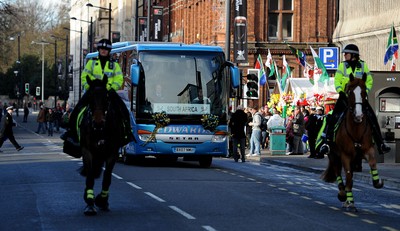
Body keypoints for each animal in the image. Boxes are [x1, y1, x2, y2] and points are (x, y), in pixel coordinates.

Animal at [78, 76, 122, 215]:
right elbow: (90, 175)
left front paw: (102, 200)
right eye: (89, 97)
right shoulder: (87, 151)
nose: (98, 122)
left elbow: (107, 178)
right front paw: (89, 202)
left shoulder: (112, 153)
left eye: (106, 97)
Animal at [320, 73, 382, 212]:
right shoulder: (345, 155)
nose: (358, 115)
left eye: (364, 93)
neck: (356, 129)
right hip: (333, 155)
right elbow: (347, 177)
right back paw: (343, 194)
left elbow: (373, 164)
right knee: (338, 172)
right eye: (349, 92)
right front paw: (347, 198)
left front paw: (377, 182)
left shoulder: (368, 150)